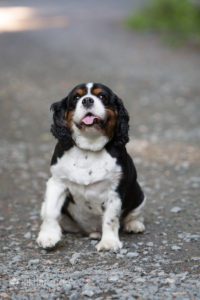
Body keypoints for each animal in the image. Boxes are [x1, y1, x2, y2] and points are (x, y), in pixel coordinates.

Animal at [36, 82, 145, 251]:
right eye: (76, 97)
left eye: (102, 96)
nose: (87, 100)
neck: (89, 147)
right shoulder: (57, 183)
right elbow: (51, 212)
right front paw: (48, 237)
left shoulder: (114, 190)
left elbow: (111, 218)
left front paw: (109, 242)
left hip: (139, 194)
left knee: (135, 213)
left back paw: (134, 225)